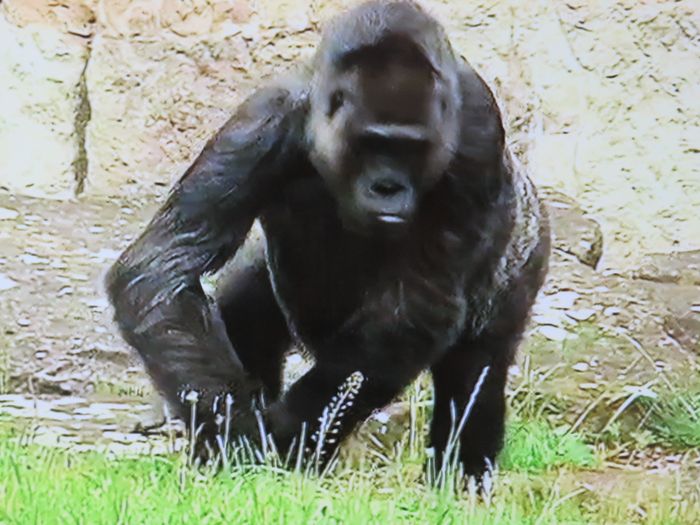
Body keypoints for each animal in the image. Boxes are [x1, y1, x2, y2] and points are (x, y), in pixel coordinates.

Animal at [106, 1, 548, 478]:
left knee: (474, 376)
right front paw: (235, 434)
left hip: (523, 260)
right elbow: (162, 265)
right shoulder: (262, 119)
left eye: (411, 148)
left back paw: (459, 479)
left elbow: (417, 309)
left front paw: (281, 435)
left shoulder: (477, 134)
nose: (388, 187)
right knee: (245, 304)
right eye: (374, 143)